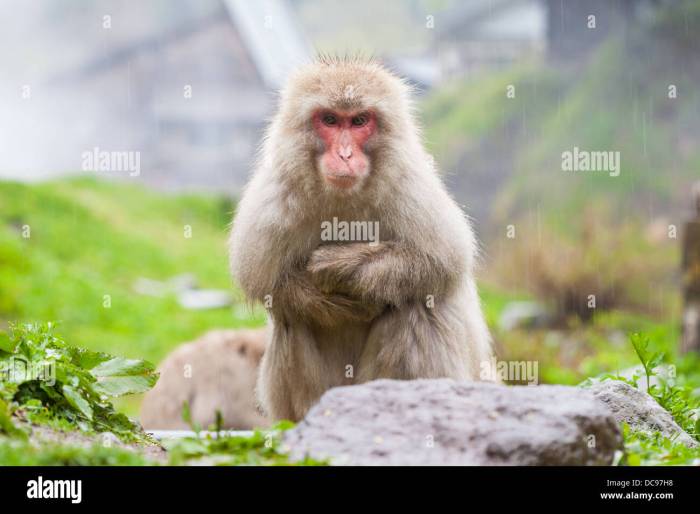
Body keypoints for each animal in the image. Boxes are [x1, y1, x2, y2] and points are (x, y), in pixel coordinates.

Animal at [228, 56, 492, 420]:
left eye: (359, 121)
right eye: (329, 119)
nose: (345, 155)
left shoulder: (409, 187)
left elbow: (441, 261)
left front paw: (344, 266)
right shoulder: (275, 198)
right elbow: (264, 281)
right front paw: (322, 300)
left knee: (416, 303)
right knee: (291, 317)